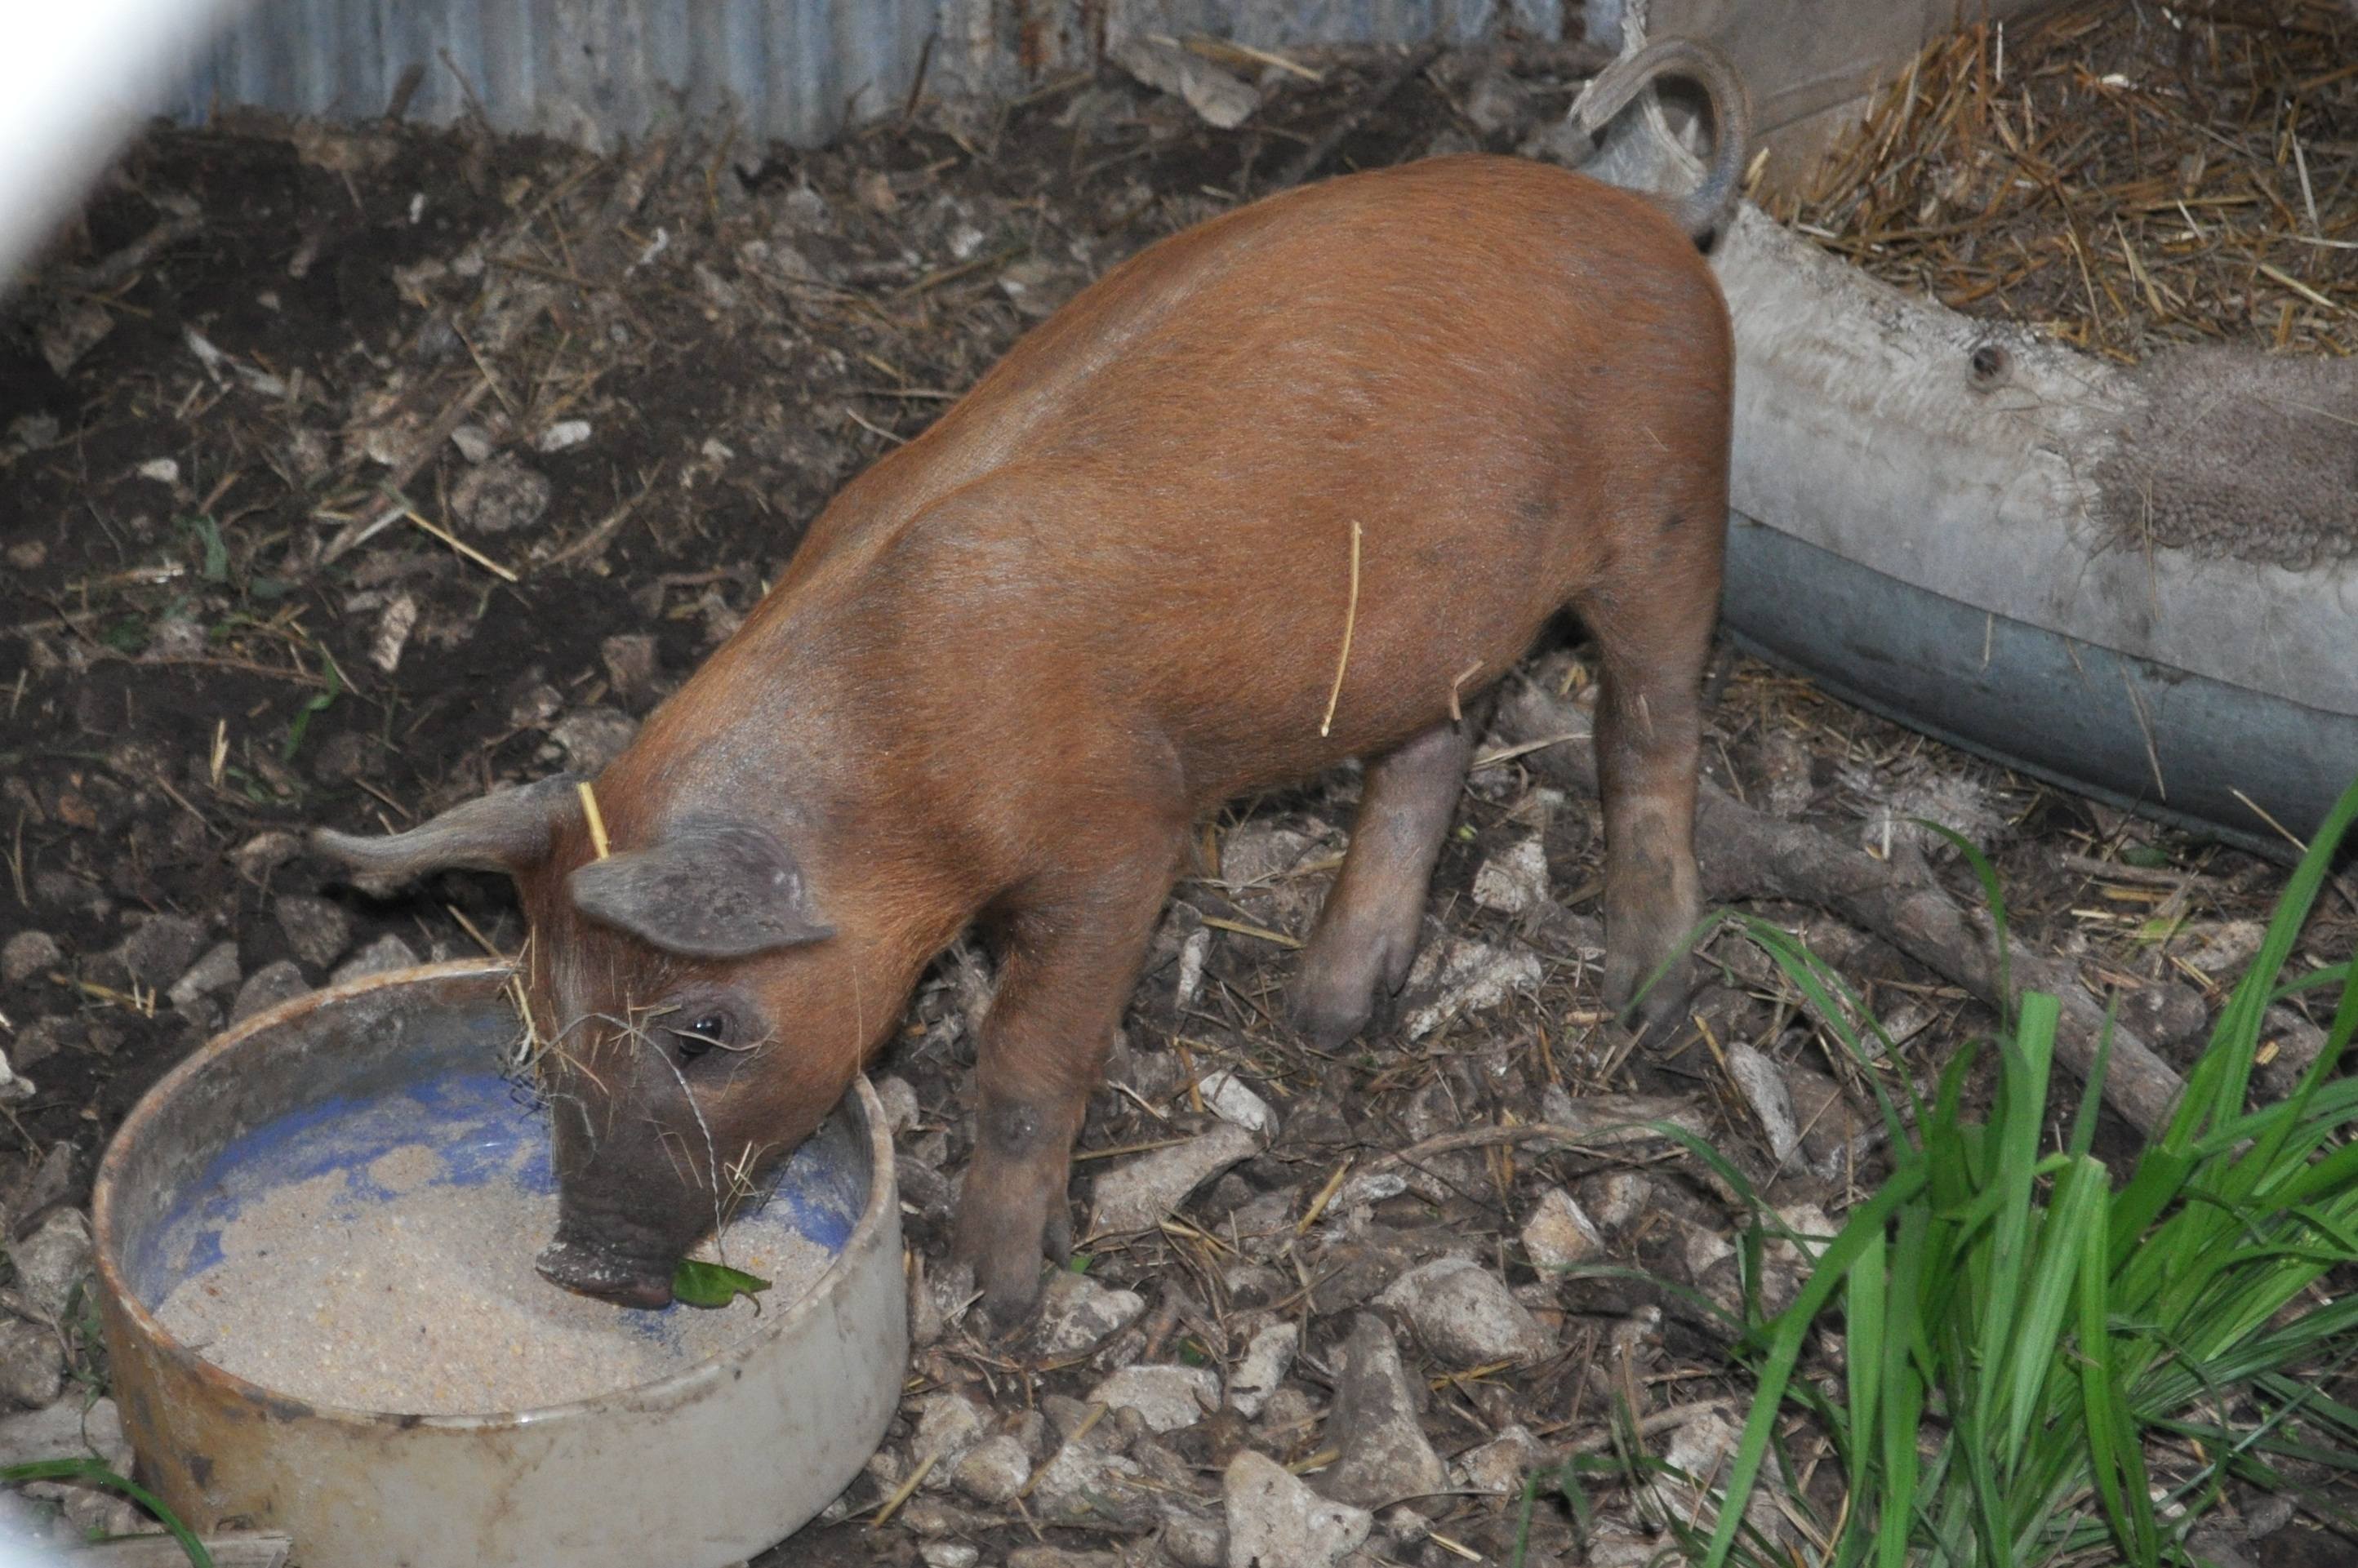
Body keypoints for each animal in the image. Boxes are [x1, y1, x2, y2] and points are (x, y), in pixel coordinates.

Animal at [314, 45, 1749, 1323]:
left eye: (707, 1032)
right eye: (541, 1017)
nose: (582, 1266)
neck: (896, 758)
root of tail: (1655, 214)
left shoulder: (1123, 838)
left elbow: (1026, 1062)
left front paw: (1002, 1298)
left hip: (1670, 507)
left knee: (1653, 730)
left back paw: (1650, 1002)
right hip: (1439, 614)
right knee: (1433, 742)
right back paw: (1326, 1015)